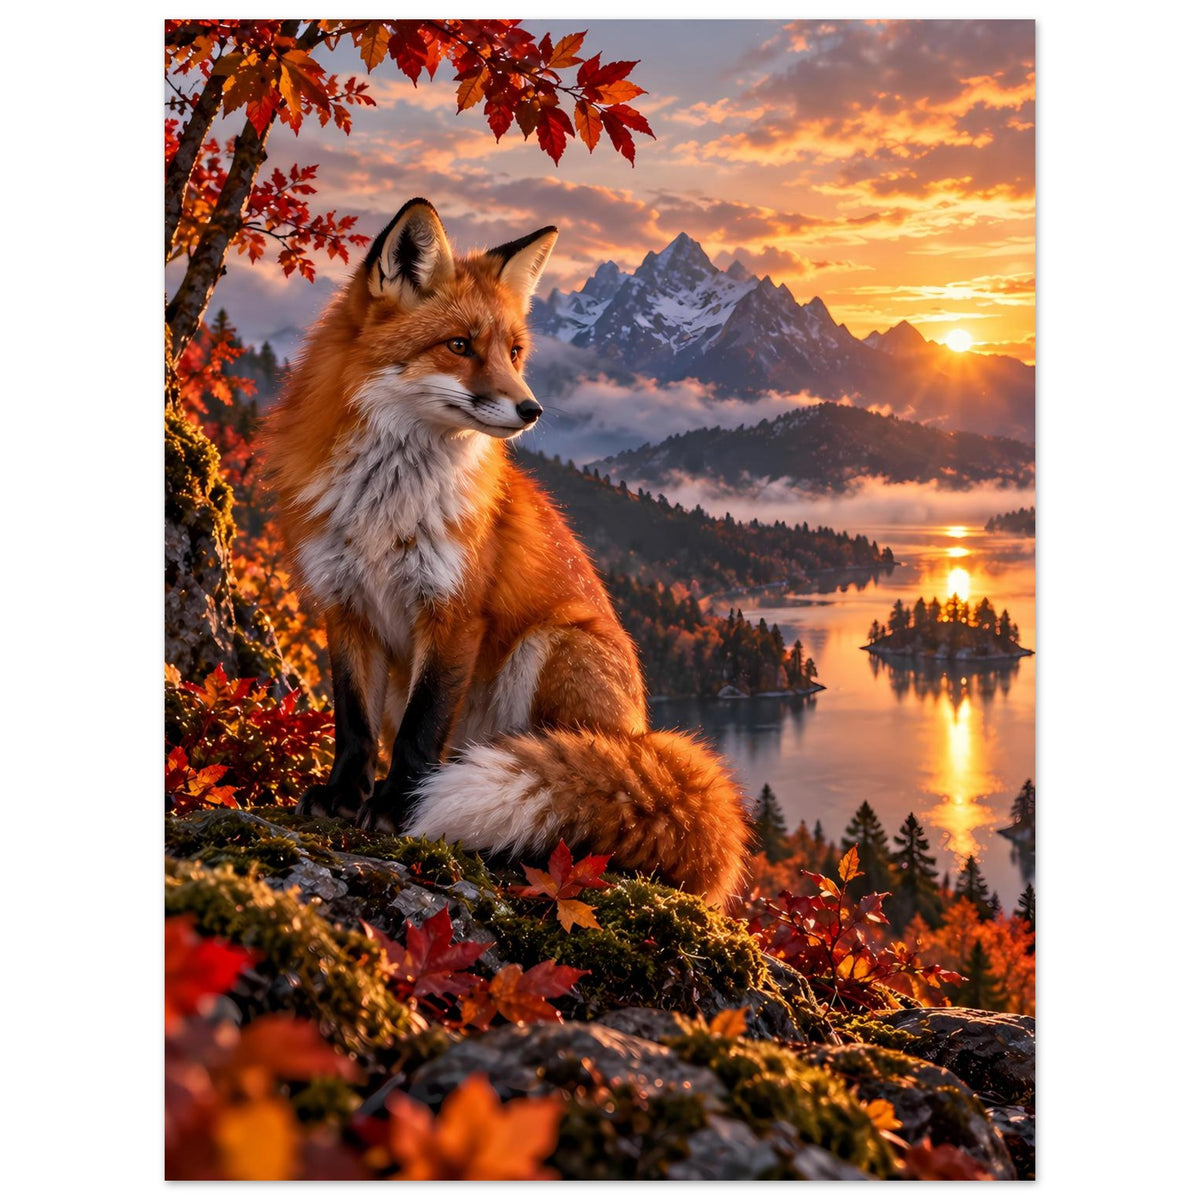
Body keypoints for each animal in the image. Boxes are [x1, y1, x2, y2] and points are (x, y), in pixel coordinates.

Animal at [265, 197, 749, 907]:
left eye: (515, 351)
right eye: (460, 346)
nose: (532, 409)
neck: (386, 507)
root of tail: (642, 735)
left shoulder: (454, 611)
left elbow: (419, 731)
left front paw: (398, 809)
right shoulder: (344, 604)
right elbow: (353, 725)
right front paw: (343, 798)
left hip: (551, 645)